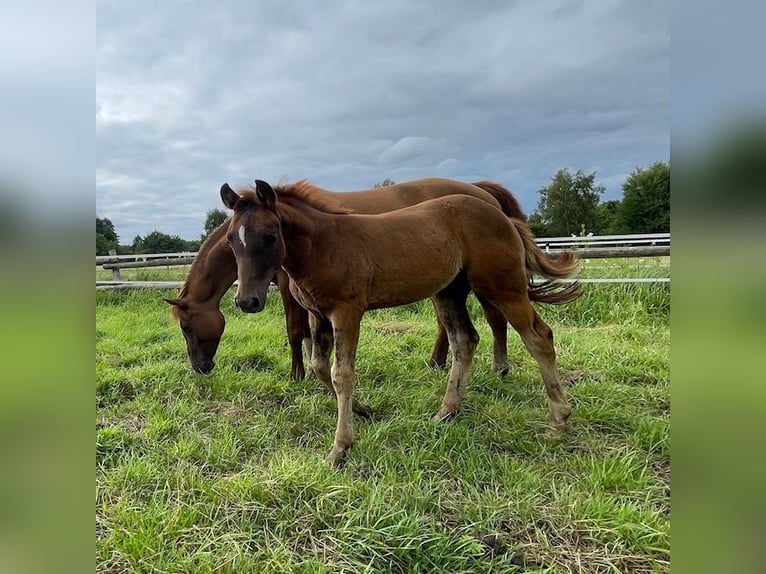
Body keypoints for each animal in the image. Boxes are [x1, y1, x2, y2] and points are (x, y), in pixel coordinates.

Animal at [167, 178, 528, 380]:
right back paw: (441, 363)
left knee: (495, 316)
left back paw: (494, 366)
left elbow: (294, 331)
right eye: (231, 241)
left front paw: (296, 375)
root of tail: (481, 191)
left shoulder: (285, 287)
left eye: (186, 326)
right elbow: (311, 334)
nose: (200, 367)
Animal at [222, 179, 584, 468]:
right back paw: (446, 411)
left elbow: (342, 374)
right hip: (450, 292)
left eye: (270, 236)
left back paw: (559, 419)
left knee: (539, 337)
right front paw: (363, 410)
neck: (323, 246)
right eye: (230, 241)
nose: (246, 301)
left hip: (503, 287)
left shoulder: (347, 312)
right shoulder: (319, 315)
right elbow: (320, 368)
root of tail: (503, 217)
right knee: (465, 340)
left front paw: (340, 448)